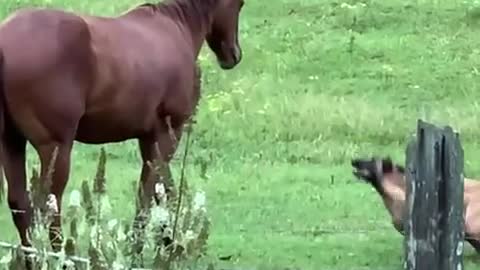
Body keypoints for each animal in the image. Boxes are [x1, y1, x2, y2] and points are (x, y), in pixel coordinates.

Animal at [0, 0, 246, 251]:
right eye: (239, 4)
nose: (234, 55)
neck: (175, 27)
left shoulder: (149, 138)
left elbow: (162, 190)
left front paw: (167, 241)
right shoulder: (168, 133)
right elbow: (149, 194)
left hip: (11, 143)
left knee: (20, 203)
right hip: (55, 148)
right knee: (48, 206)